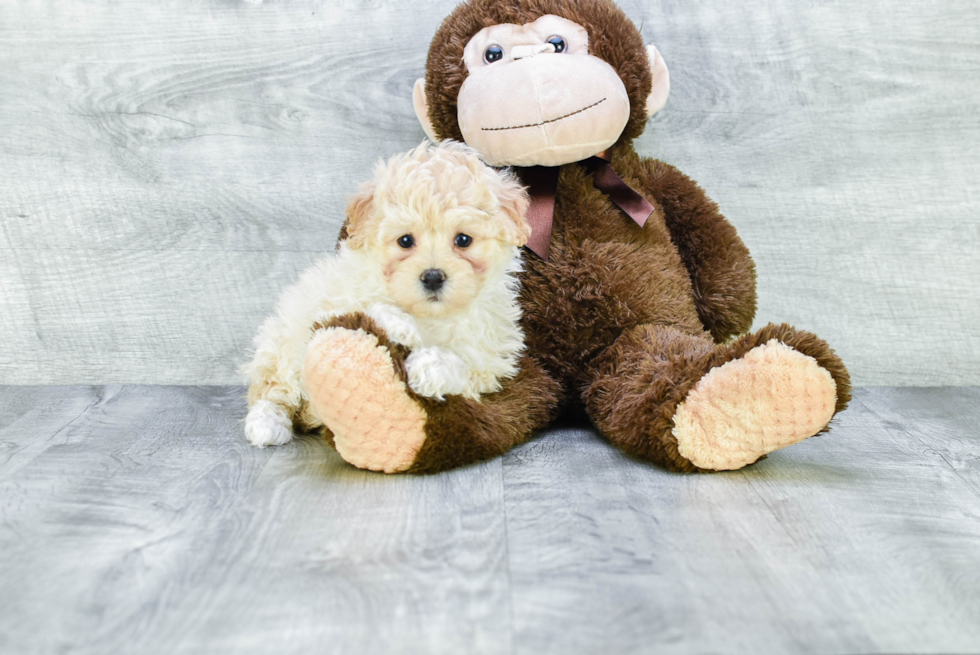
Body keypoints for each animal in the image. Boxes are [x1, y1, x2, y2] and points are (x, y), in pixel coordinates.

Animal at [242, 138, 532, 446]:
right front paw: (400, 327)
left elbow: (462, 366)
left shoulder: (486, 360)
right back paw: (267, 424)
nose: (432, 277)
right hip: (284, 342)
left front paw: (429, 368)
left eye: (463, 240)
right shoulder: (338, 297)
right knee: (273, 389)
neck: (430, 315)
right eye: (405, 241)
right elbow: (371, 308)